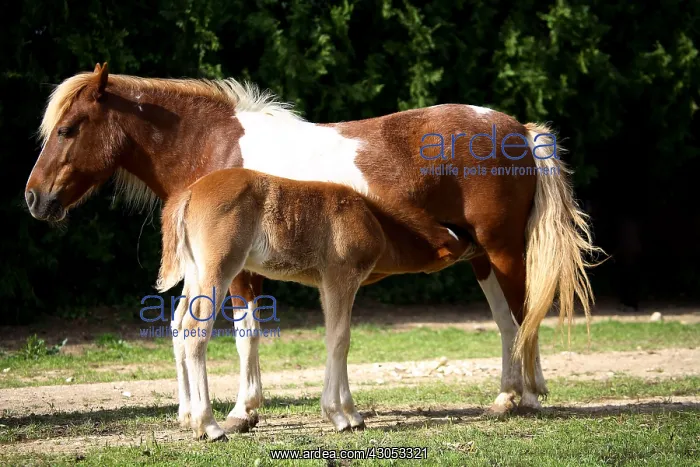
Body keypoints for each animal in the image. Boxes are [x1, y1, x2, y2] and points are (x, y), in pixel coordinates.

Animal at [156, 168, 473, 439]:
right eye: (462, 244)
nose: (478, 245)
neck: (371, 216)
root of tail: (189, 194)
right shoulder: (340, 278)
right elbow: (339, 339)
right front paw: (339, 415)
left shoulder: (331, 286)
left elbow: (342, 340)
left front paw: (353, 414)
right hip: (219, 270)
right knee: (195, 331)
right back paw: (209, 426)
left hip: (195, 274)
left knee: (178, 324)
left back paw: (188, 416)